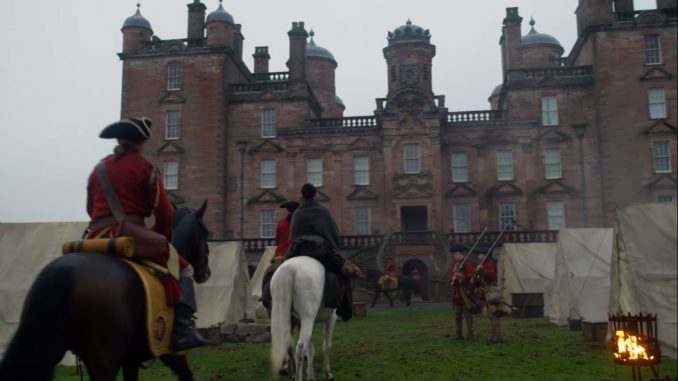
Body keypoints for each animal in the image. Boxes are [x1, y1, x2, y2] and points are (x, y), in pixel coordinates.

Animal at [0, 202, 211, 380]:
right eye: (205, 233)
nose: (206, 272)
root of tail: (63, 272)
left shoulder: (131, 360)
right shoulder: (171, 353)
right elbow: (187, 375)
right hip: (104, 364)